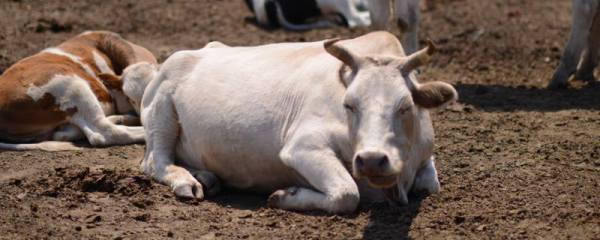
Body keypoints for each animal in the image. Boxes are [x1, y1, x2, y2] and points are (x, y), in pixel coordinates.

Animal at [138, 31, 458, 214]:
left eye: (405, 106)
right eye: (349, 104)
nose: (371, 160)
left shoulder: (425, 156)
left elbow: (431, 185)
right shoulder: (302, 147)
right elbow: (347, 194)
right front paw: (285, 195)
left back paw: (205, 176)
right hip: (160, 112)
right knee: (156, 161)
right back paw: (187, 181)